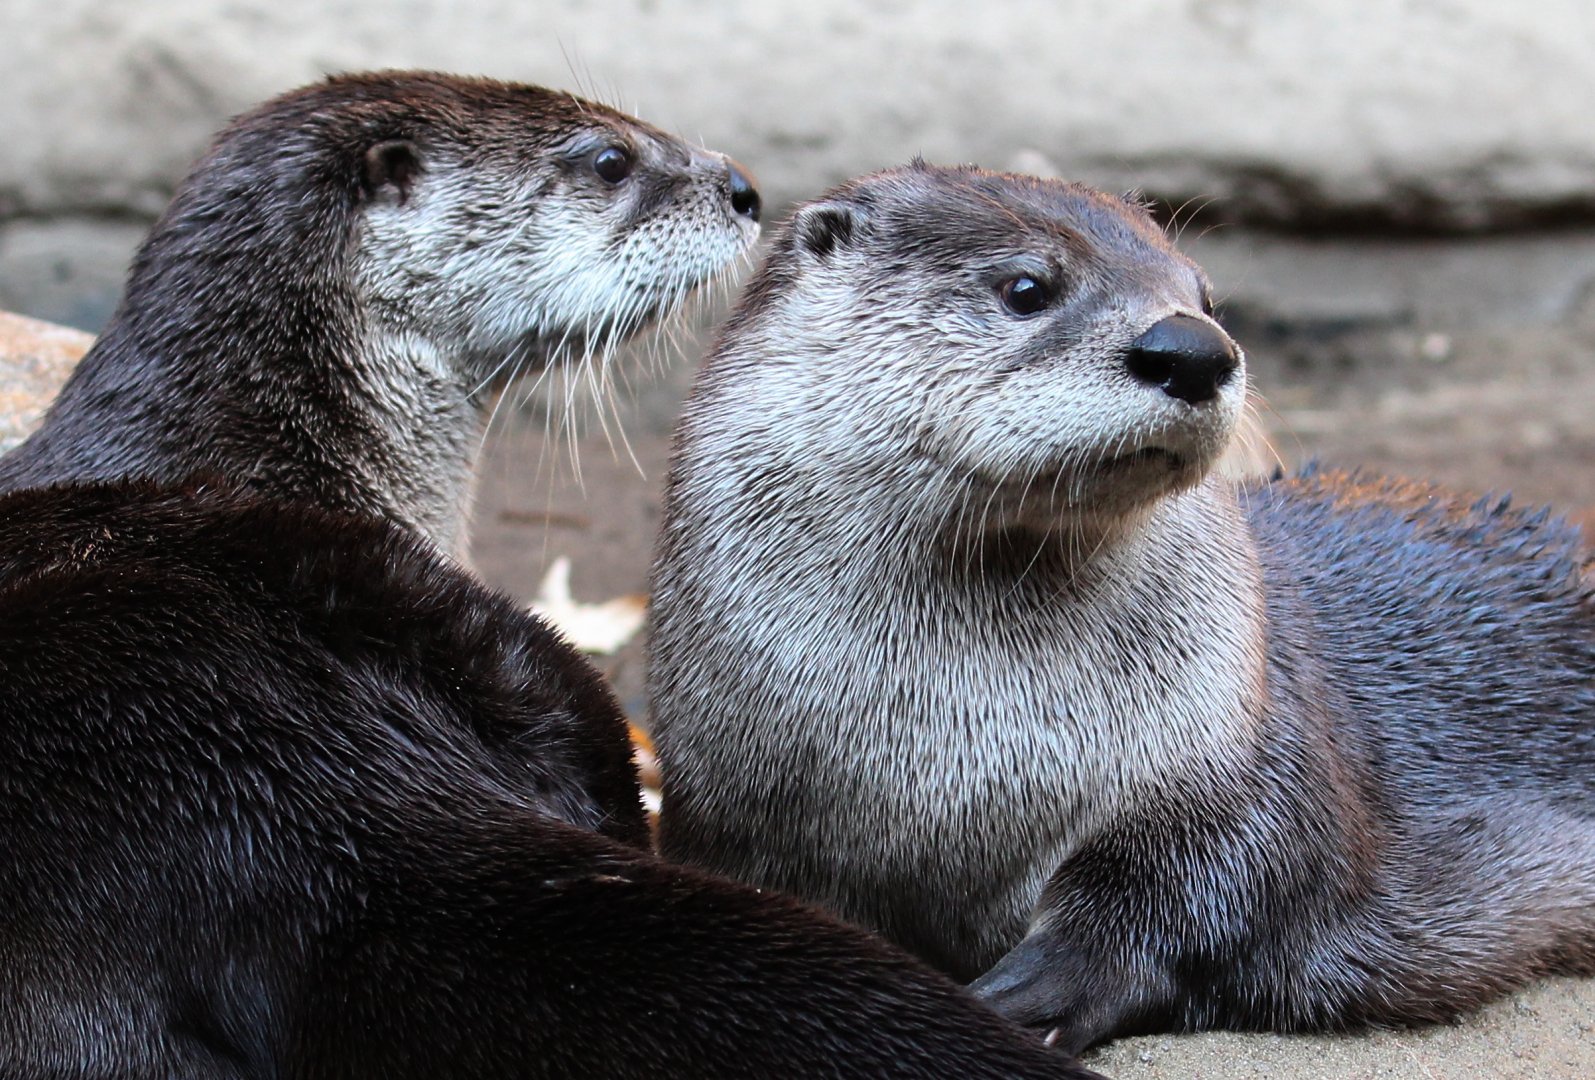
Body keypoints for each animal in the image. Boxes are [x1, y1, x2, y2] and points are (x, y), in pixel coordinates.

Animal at [648, 162, 1595, 1055]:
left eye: (1206, 297)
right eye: (1025, 287)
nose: (1192, 348)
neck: (951, 755)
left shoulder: (1236, 746)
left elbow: (1215, 878)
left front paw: (1034, 992)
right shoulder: (725, 807)